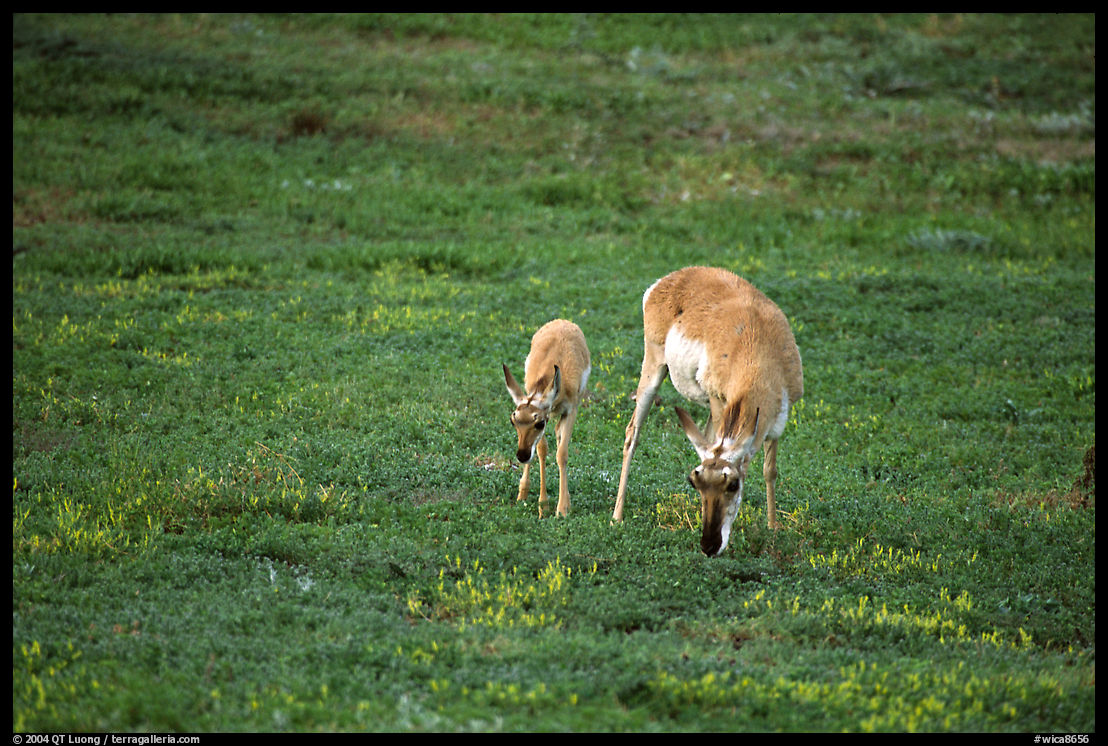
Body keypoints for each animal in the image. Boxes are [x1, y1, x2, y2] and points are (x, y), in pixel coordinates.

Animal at [503, 319, 591, 518]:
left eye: (539, 423)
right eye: (513, 421)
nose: (521, 455)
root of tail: (562, 321)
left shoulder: (570, 411)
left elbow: (562, 454)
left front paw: (562, 508)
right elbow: (542, 449)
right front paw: (542, 505)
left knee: (559, 437)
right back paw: (523, 493)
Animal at [612, 266, 803, 556]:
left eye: (733, 484)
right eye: (694, 481)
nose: (709, 546)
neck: (757, 352)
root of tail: (673, 278)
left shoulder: (776, 422)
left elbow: (769, 470)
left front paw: (773, 529)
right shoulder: (718, 399)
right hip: (653, 369)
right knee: (632, 433)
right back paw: (617, 517)